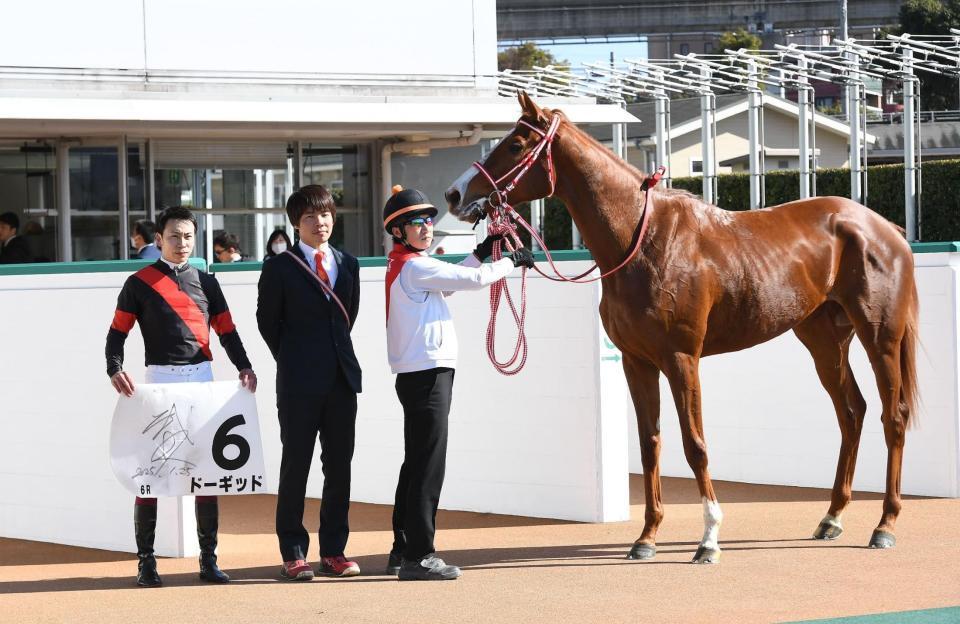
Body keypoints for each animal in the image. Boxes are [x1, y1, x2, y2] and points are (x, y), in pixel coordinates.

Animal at [444, 92, 919, 563]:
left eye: (516, 145)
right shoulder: (636, 362)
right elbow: (650, 442)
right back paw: (832, 517)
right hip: (824, 341)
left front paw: (709, 538)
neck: (642, 241)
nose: (453, 193)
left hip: (880, 337)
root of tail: (883, 228)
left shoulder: (681, 359)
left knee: (892, 416)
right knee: (851, 413)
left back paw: (885, 524)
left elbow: (695, 445)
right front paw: (647, 536)